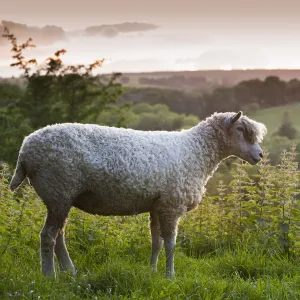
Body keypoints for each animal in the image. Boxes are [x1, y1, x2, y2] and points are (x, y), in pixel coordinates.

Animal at [9, 111, 268, 278]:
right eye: (240, 129)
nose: (260, 155)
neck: (197, 152)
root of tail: (25, 149)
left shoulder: (157, 205)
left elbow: (156, 242)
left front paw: (152, 271)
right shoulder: (172, 205)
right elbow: (171, 244)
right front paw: (170, 275)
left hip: (60, 197)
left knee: (58, 235)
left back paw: (69, 271)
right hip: (58, 191)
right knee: (47, 236)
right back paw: (49, 276)